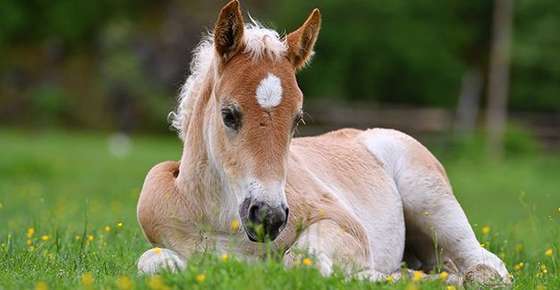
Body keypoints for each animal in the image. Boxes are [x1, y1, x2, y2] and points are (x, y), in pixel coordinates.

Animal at [137, 0, 512, 286]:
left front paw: (372, 277)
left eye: (297, 120)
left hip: (432, 203)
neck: (218, 217)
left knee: (486, 263)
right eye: (228, 114)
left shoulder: (344, 225)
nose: (269, 217)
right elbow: (153, 262)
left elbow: (301, 262)